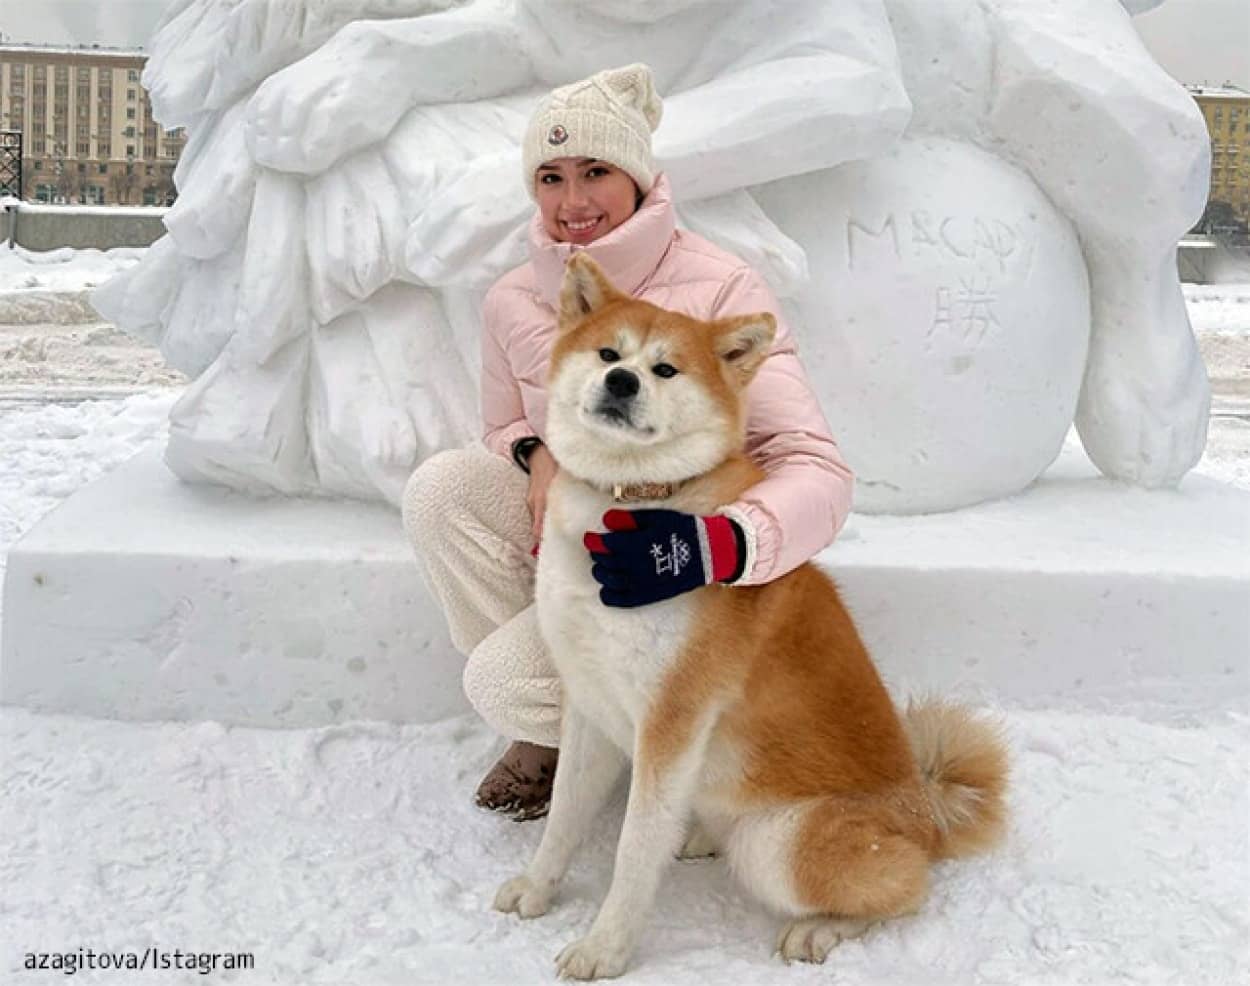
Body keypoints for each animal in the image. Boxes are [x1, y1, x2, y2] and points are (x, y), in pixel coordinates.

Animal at [490, 253, 1005, 974]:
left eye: (666, 369)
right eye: (608, 353)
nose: (621, 380)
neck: (631, 506)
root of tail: (926, 816)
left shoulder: (673, 721)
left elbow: (633, 849)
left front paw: (605, 947)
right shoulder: (587, 701)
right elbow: (565, 815)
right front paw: (539, 888)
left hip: (779, 844)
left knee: (906, 893)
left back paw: (818, 929)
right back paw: (703, 834)